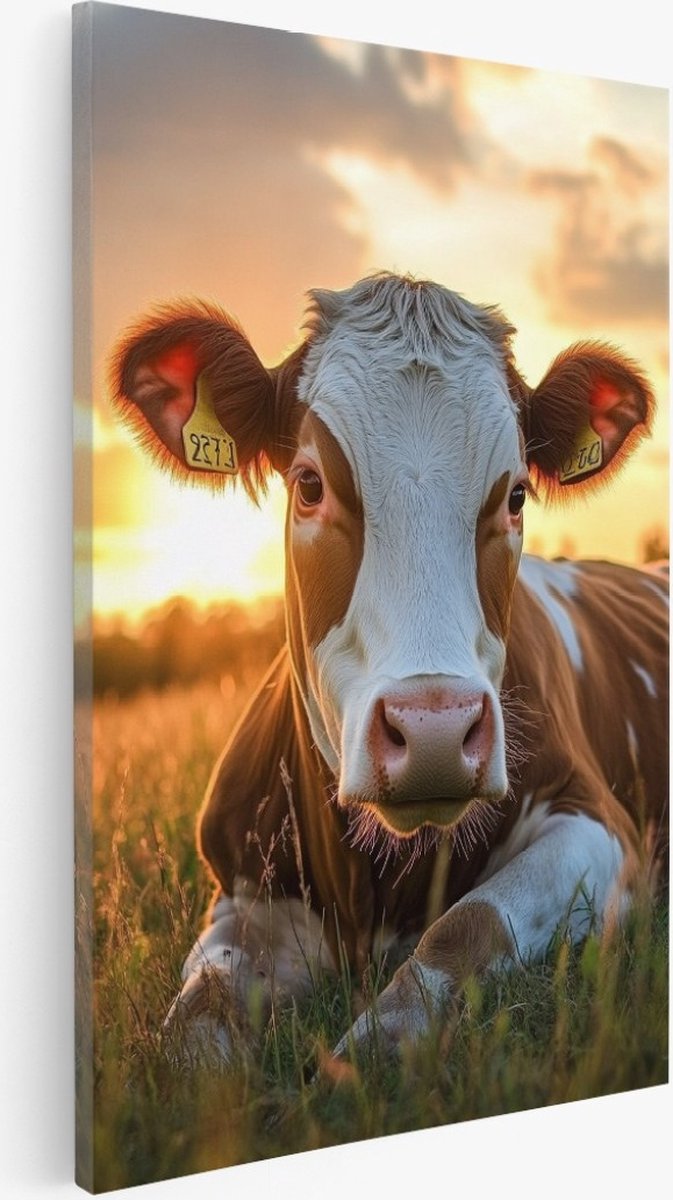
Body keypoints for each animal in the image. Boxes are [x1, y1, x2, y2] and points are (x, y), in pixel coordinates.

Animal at [109, 273, 668, 1066]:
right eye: (309, 483)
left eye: (515, 495)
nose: (434, 732)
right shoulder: (243, 893)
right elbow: (195, 1019)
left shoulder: (601, 823)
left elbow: (466, 928)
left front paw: (363, 1059)